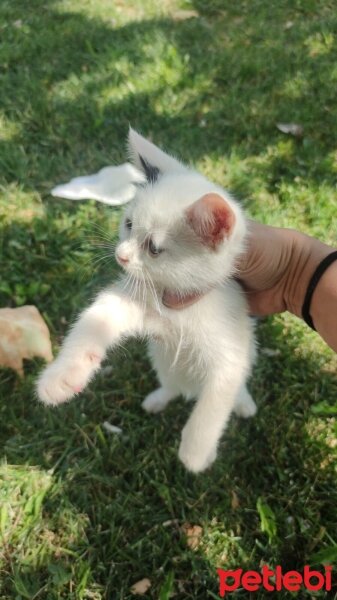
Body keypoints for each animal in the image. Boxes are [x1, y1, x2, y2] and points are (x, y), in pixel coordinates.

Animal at [36, 130, 256, 474]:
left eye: (153, 248)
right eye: (128, 224)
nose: (120, 255)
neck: (177, 299)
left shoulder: (231, 347)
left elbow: (216, 399)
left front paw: (195, 452)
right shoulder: (133, 303)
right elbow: (94, 322)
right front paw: (61, 378)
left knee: (236, 384)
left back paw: (244, 404)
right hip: (162, 360)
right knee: (171, 384)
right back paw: (158, 398)